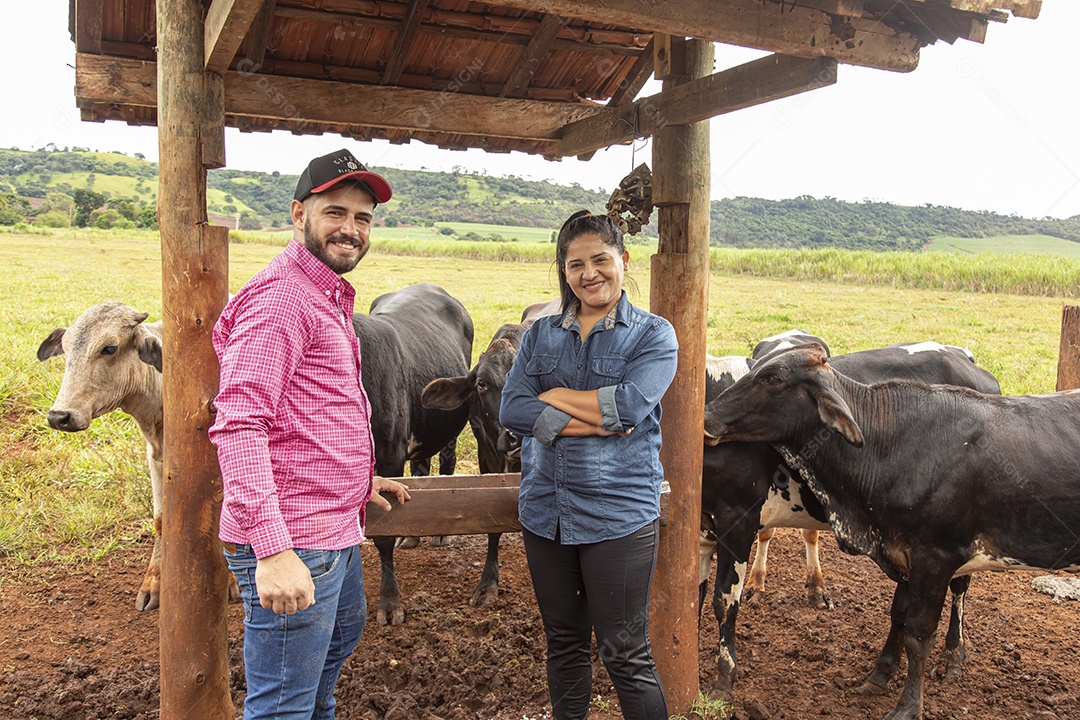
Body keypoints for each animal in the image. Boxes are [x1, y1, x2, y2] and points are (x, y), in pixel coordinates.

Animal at [354, 280, 473, 626]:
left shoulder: (389, 458)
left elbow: (383, 534)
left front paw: (389, 602)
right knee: (421, 467)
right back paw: (412, 536)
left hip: (448, 428)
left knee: (445, 465)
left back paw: (440, 535)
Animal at [699, 343, 1071, 720]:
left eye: (772, 379)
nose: (708, 421)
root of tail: (960, 355)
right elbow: (694, 597)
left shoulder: (738, 519)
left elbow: (723, 602)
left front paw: (723, 680)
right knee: (906, 608)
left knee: (959, 588)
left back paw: (953, 656)